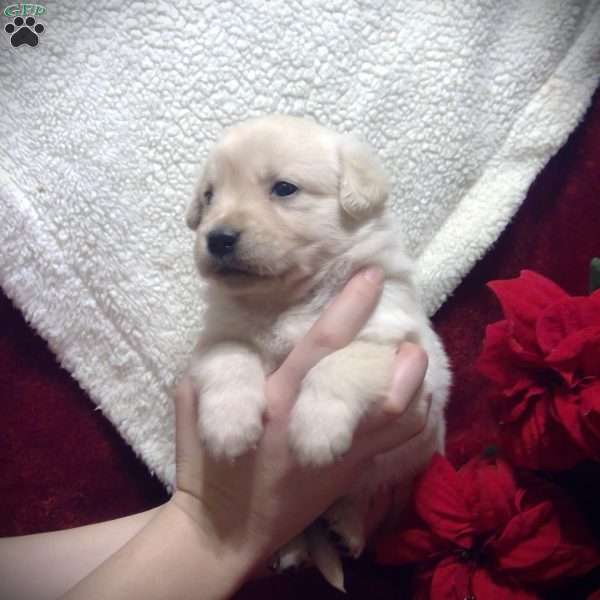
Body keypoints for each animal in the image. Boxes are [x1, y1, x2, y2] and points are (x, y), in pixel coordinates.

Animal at [186, 115, 450, 584]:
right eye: (209, 196)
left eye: (284, 188)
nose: (217, 238)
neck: (287, 300)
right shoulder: (216, 339)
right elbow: (231, 361)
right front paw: (228, 428)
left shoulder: (391, 339)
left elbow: (336, 364)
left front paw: (316, 433)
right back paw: (295, 547)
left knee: (357, 492)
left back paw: (346, 529)